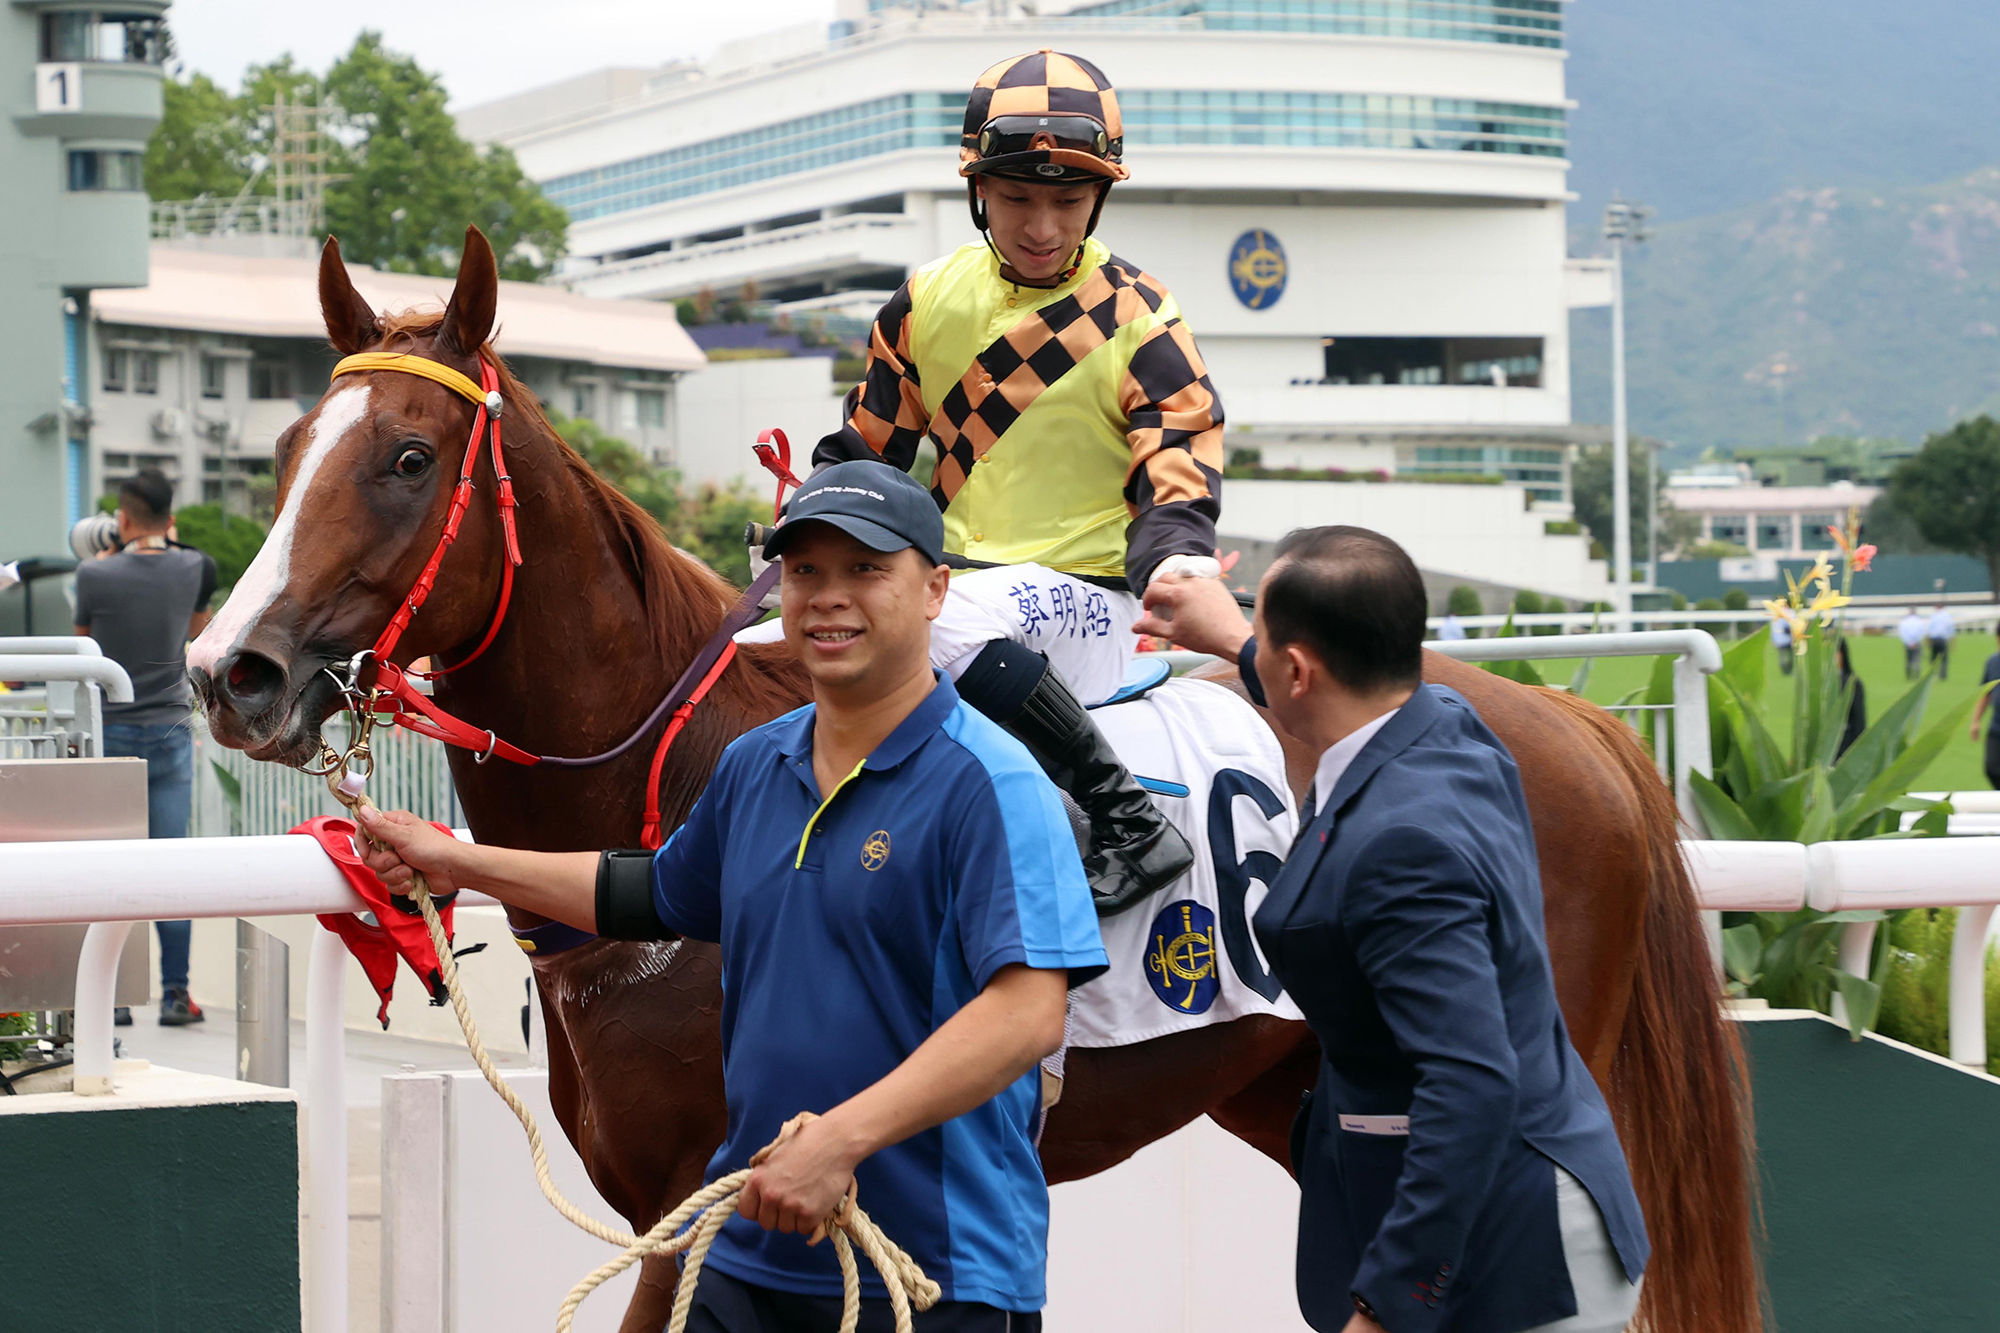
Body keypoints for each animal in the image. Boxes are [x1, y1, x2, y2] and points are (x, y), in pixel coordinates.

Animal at [188, 231, 1752, 1328]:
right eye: (286, 447)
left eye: (406, 456)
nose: (230, 668)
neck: (677, 781)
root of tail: (1580, 724)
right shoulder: (680, 1207)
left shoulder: (711, 1200)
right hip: (1304, 1087)